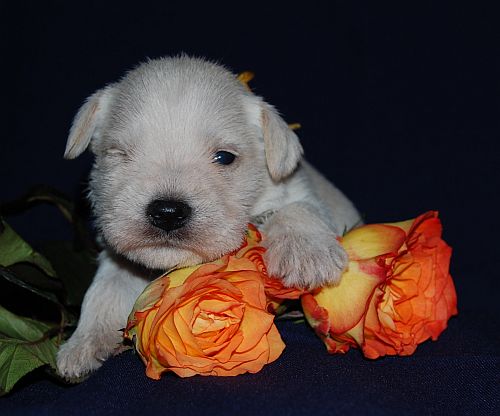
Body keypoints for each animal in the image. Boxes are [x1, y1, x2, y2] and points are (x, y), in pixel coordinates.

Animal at [56, 55, 361, 380]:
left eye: (225, 157)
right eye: (120, 154)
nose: (167, 212)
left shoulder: (295, 189)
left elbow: (297, 209)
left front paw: (306, 254)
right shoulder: (119, 257)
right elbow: (106, 289)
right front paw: (82, 344)